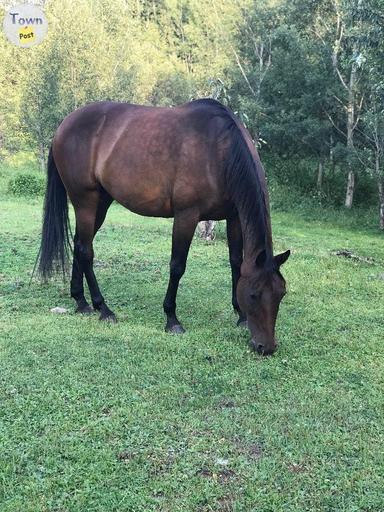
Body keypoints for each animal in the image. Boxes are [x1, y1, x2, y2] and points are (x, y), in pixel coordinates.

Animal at [39, 99, 292, 356]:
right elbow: (177, 266)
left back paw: (81, 302)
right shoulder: (186, 216)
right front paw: (172, 319)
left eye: (281, 293)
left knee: (80, 244)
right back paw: (104, 309)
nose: (266, 347)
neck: (218, 150)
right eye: (254, 295)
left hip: (101, 202)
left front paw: (240, 316)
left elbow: (236, 263)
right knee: (86, 251)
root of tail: (63, 126)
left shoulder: (234, 217)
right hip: (86, 201)